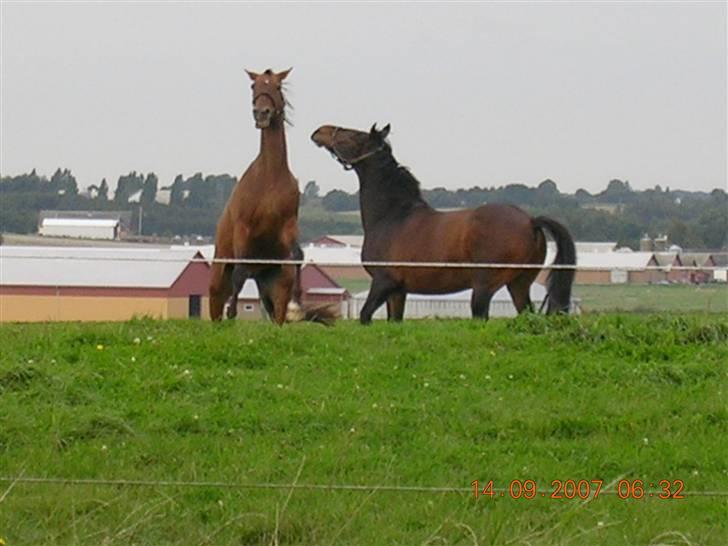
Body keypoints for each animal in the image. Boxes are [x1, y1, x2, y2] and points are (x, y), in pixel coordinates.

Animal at [209, 67, 336, 324]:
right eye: (253, 86)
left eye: (276, 86)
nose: (261, 114)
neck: (270, 177)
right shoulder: (243, 229)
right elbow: (239, 272)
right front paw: (232, 312)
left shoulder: (288, 227)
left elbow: (297, 254)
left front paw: (297, 306)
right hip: (218, 281)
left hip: (273, 289)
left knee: (276, 313)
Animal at [310, 123, 576, 324]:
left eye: (355, 134)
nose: (320, 131)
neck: (393, 216)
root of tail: (530, 221)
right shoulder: (398, 291)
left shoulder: (383, 282)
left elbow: (365, 315)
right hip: (519, 284)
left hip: (484, 288)